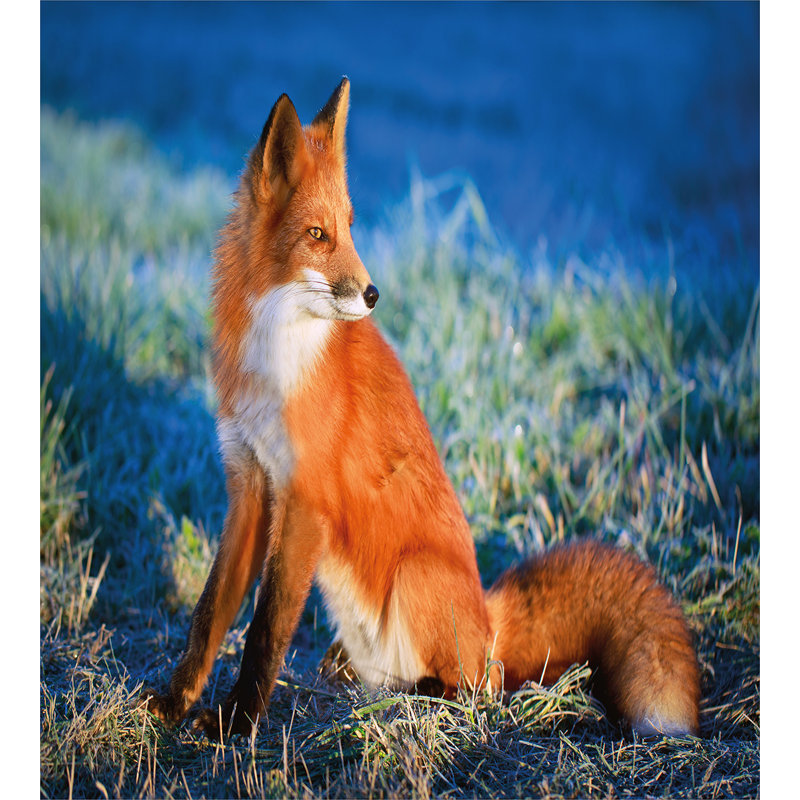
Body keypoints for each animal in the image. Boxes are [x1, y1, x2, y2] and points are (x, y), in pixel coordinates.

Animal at [142, 78, 700, 740]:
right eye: (317, 235)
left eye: (350, 226)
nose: (373, 294)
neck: (276, 355)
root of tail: (490, 622)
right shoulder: (250, 486)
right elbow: (209, 616)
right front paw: (176, 702)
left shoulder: (305, 501)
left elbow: (266, 630)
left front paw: (237, 723)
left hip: (414, 576)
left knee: (479, 691)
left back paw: (425, 696)